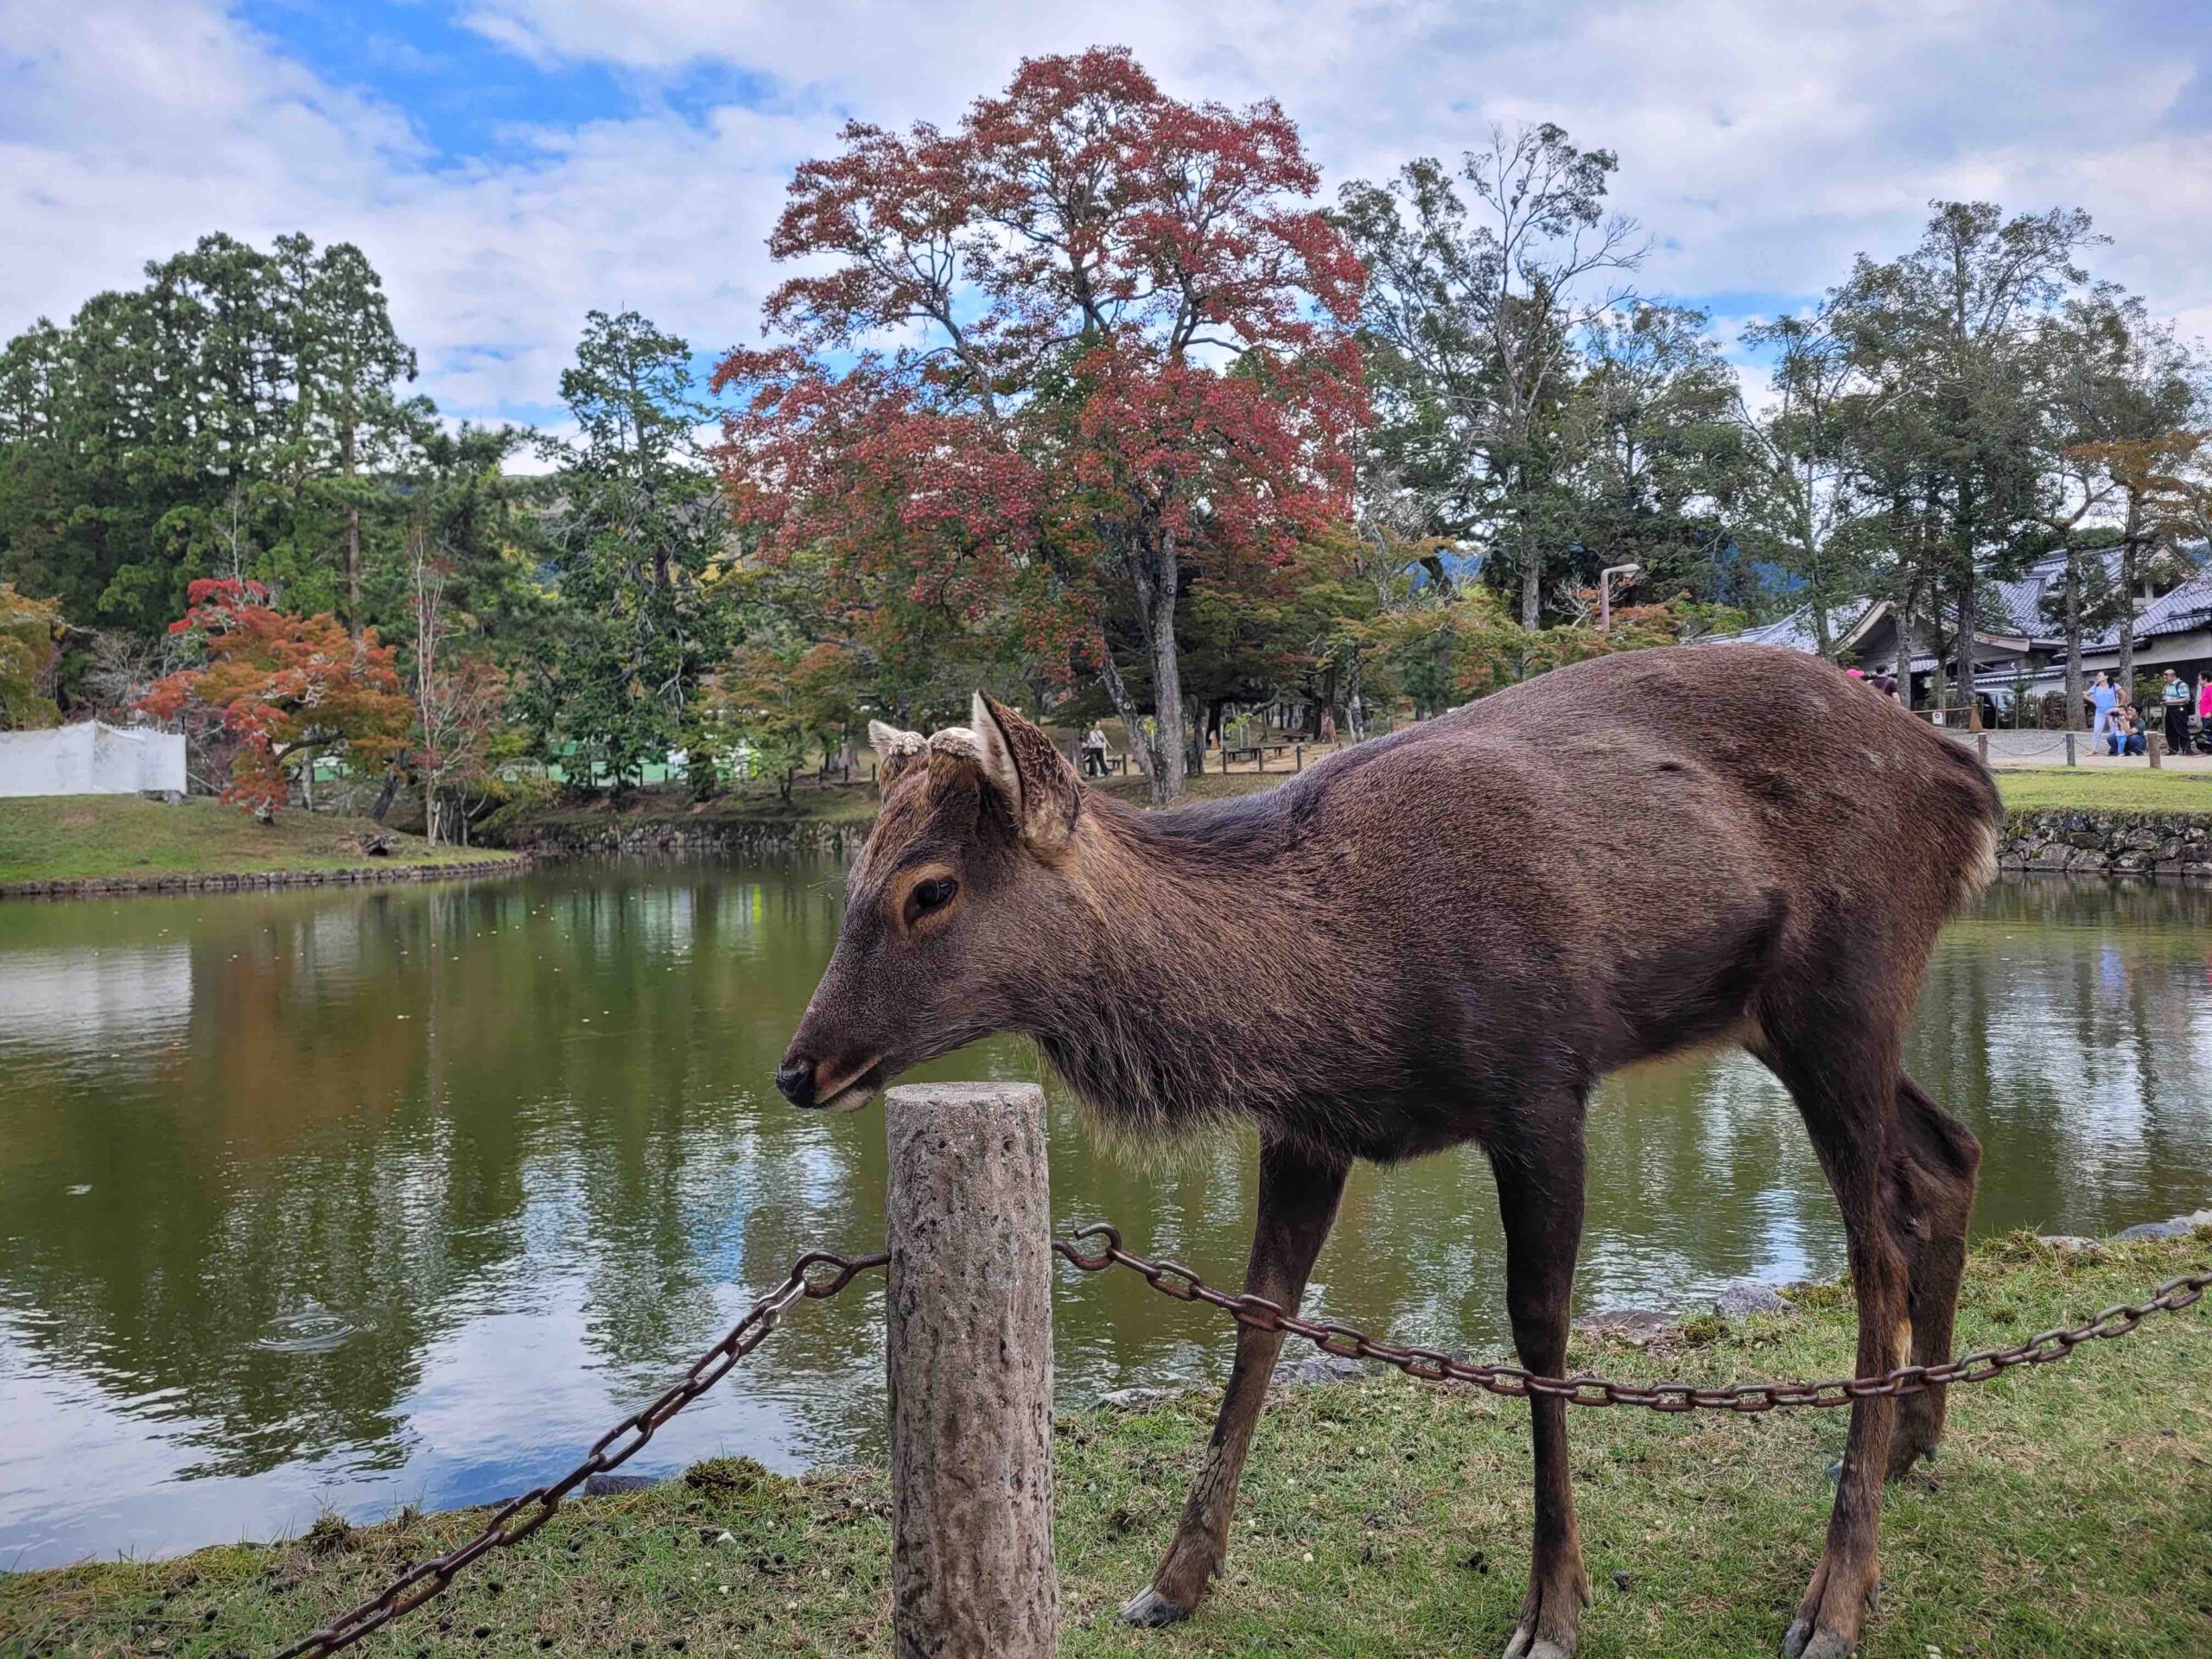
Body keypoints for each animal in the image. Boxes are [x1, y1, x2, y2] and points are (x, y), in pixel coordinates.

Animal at [783, 650, 2008, 1659]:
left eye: (930, 888)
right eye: (852, 876)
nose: (799, 1069)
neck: (1333, 1002)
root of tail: (1967, 782)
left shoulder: (1539, 1083)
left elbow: (1538, 1331)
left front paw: (1552, 1610)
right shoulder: (1308, 1130)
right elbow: (1258, 1316)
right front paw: (1173, 1580)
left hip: (1845, 981)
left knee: (1874, 1253)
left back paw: (1835, 1595)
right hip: (1779, 1016)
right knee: (1944, 1157)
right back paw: (1914, 1440)